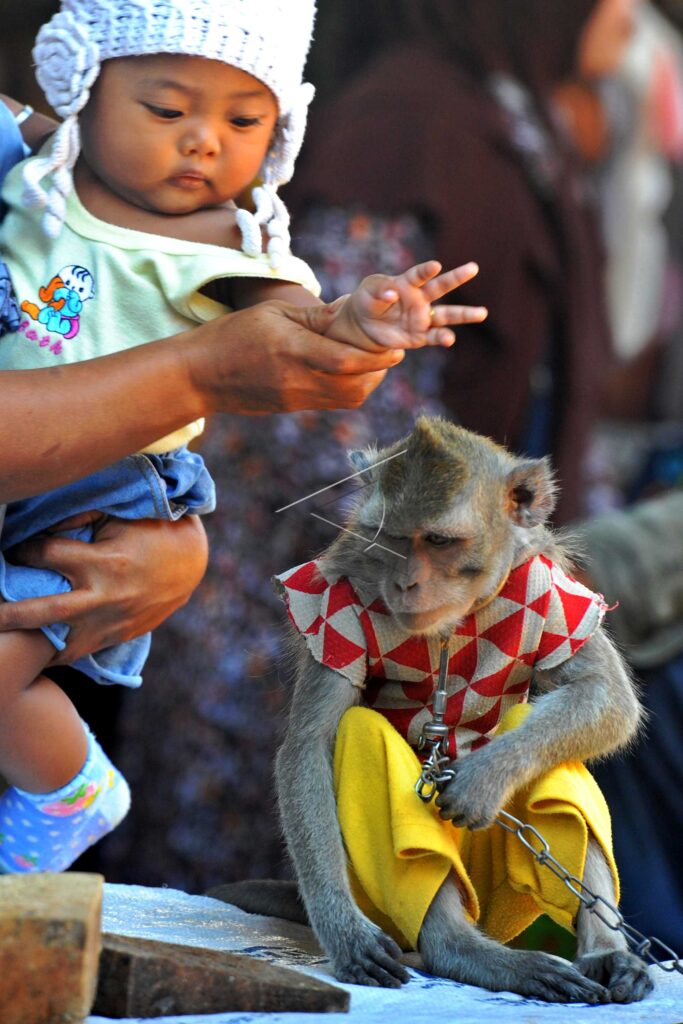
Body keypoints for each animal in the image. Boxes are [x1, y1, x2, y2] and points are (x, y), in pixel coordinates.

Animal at [212, 417, 653, 1004]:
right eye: (395, 539)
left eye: (439, 541)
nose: (406, 582)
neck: (448, 626)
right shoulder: (333, 608)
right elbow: (308, 747)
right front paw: (344, 933)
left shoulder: (549, 593)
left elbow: (607, 696)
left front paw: (484, 778)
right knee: (358, 731)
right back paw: (460, 950)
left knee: (552, 751)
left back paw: (606, 952)